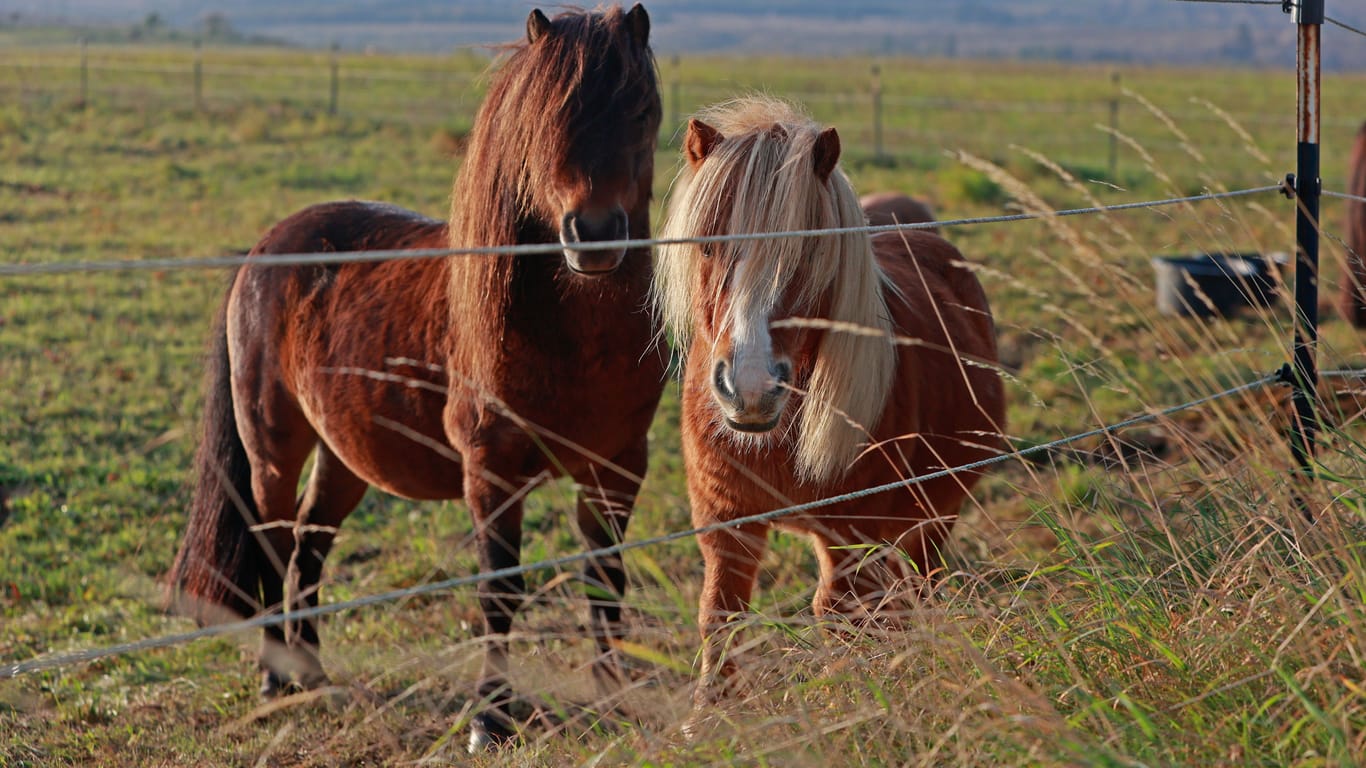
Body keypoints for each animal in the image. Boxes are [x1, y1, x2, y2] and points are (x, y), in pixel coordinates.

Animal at [170, 4, 661, 748]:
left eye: (639, 108)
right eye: (543, 117)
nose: (597, 233)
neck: (576, 338)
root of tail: (264, 248)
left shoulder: (618, 469)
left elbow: (605, 580)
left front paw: (612, 701)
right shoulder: (491, 472)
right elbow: (499, 590)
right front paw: (489, 719)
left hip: (343, 453)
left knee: (310, 546)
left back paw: (313, 675)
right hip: (273, 450)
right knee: (275, 546)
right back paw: (276, 679)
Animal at [655, 98, 1010, 716]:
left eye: (805, 251)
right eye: (706, 245)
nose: (750, 387)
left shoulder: (852, 534)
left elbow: (844, 619)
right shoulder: (726, 524)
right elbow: (719, 619)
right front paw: (707, 721)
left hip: (933, 512)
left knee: (918, 586)